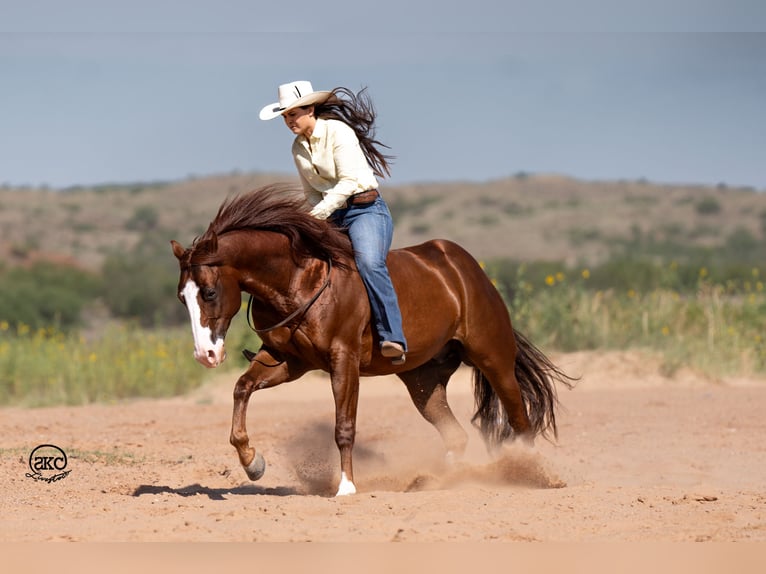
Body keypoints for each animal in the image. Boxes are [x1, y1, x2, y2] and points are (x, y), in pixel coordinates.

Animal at [170, 183, 576, 496]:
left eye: (208, 292)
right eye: (182, 297)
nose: (205, 355)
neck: (299, 281)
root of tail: (465, 269)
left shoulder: (344, 361)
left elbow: (344, 427)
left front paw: (347, 487)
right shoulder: (286, 362)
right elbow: (242, 389)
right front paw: (253, 462)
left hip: (493, 359)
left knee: (520, 421)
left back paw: (532, 475)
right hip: (423, 381)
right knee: (456, 435)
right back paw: (439, 481)